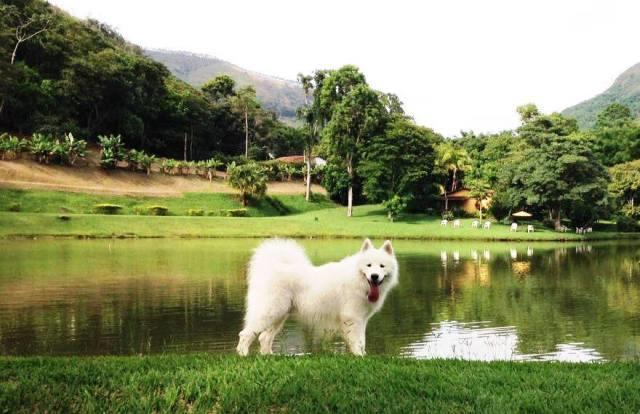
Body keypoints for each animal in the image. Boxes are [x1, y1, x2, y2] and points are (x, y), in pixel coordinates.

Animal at [236, 238, 396, 358]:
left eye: (382, 266)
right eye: (369, 265)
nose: (374, 276)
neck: (358, 279)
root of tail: (271, 268)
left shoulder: (361, 319)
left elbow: (362, 340)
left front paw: (362, 355)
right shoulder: (352, 317)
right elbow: (358, 340)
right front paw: (359, 356)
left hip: (279, 316)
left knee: (264, 337)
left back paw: (269, 356)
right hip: (270, 312)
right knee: (245, 334)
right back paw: (243, 355)